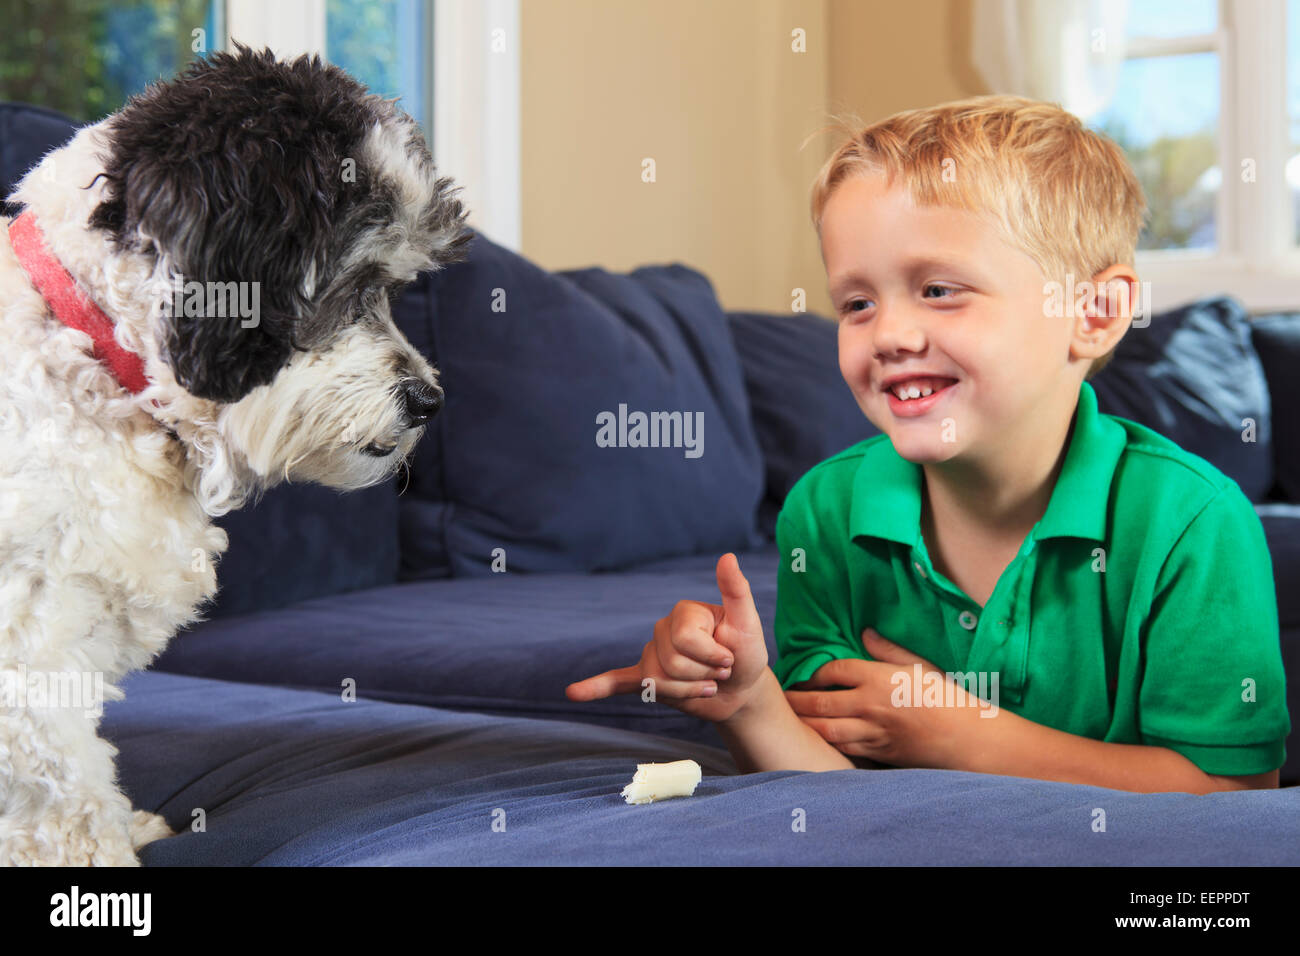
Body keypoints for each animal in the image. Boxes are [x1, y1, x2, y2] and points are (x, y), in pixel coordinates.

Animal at [0, 44, 475, 868]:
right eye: (354, 278)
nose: (427, 400)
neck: (89, 347)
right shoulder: (26, 652)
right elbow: (65, 795)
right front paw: (101, 857)